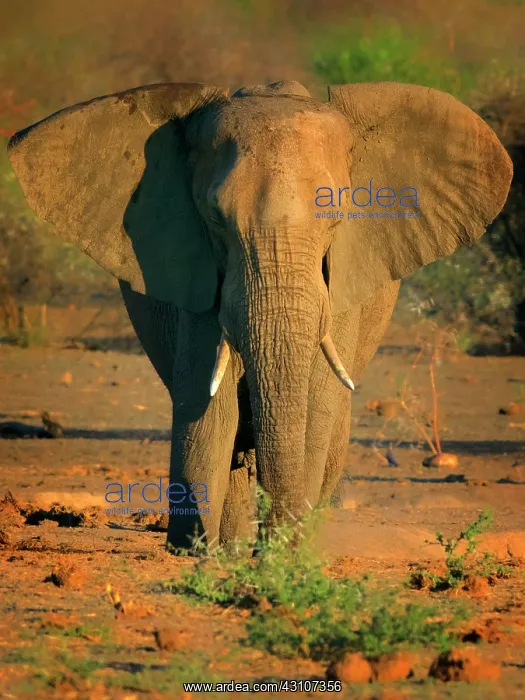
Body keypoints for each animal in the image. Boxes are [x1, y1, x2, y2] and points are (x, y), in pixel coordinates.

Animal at [7, 79, 512, 553]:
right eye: (215, 217)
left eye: (338, 217)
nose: (269, 547)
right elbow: (206, 404)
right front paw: (199, 554)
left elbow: (315, 404)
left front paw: (285, 558)